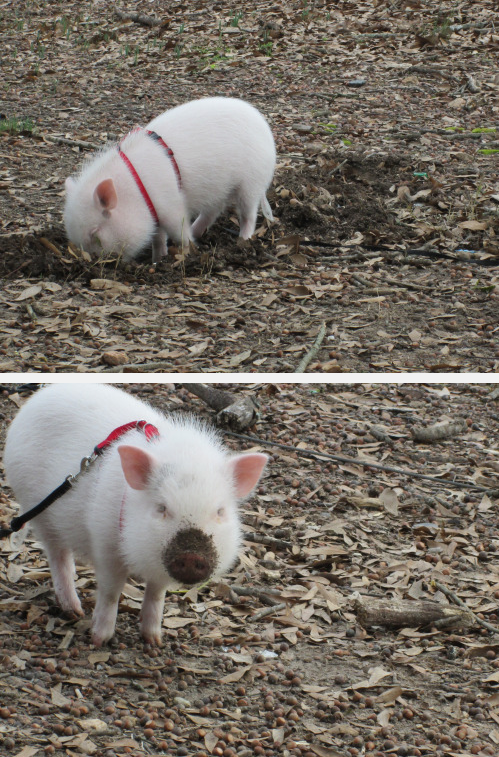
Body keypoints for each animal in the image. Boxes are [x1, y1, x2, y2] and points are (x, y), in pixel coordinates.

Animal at [2, 384, 270, 644]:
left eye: (219, 511)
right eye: (161, 508)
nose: (192, 555)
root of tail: (38, 397)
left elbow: (156, 595)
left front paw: (154, 643)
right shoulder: (105, 546)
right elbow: (110, 592)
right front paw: (99, 640)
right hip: (37, 507)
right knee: (58, 556)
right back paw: (74, 611)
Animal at [63, 97, 278, 262]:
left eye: (95, 233)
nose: (93, 263)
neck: (136, 189)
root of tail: (265, 128)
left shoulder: (171, 204)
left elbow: (179, 231)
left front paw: (187, 253)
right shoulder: (155, 212)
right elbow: (158, 238)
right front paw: (158, 260)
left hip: (251, 182)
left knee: (248, 214)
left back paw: (243, 240)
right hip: (218, 190)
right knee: (213, 211)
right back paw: (198, 231)